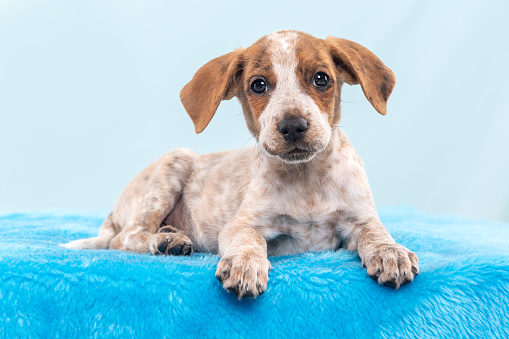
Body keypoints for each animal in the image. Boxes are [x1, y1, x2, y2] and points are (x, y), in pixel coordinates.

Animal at [62, 29, 416, 300]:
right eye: (258, 85)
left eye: (321, 79)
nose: (293, 126)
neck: (306, 180)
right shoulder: (243, 224)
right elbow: (249, 241)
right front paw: (245, 266)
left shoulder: (359, 219)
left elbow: (377, 233)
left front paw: (391, 253)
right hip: (174, 163)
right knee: (124, 238)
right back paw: (164, 241)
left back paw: (169, 234)